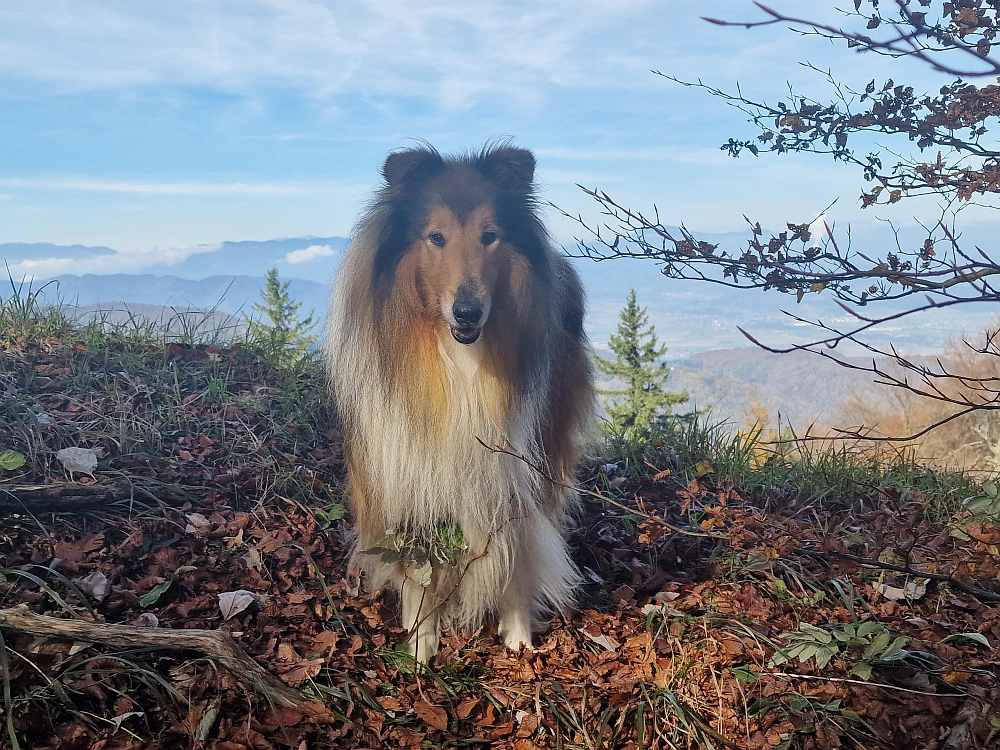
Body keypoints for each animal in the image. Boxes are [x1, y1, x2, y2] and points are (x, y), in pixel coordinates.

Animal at [326, 142, 592, 664]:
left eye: (490, 236)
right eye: (436, 237)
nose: (468, 312)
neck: (459, 360)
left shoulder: (512, 473)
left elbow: (515, 557)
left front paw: (518, 637)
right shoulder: (407, 471)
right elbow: (418, 570)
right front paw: (420, 647)